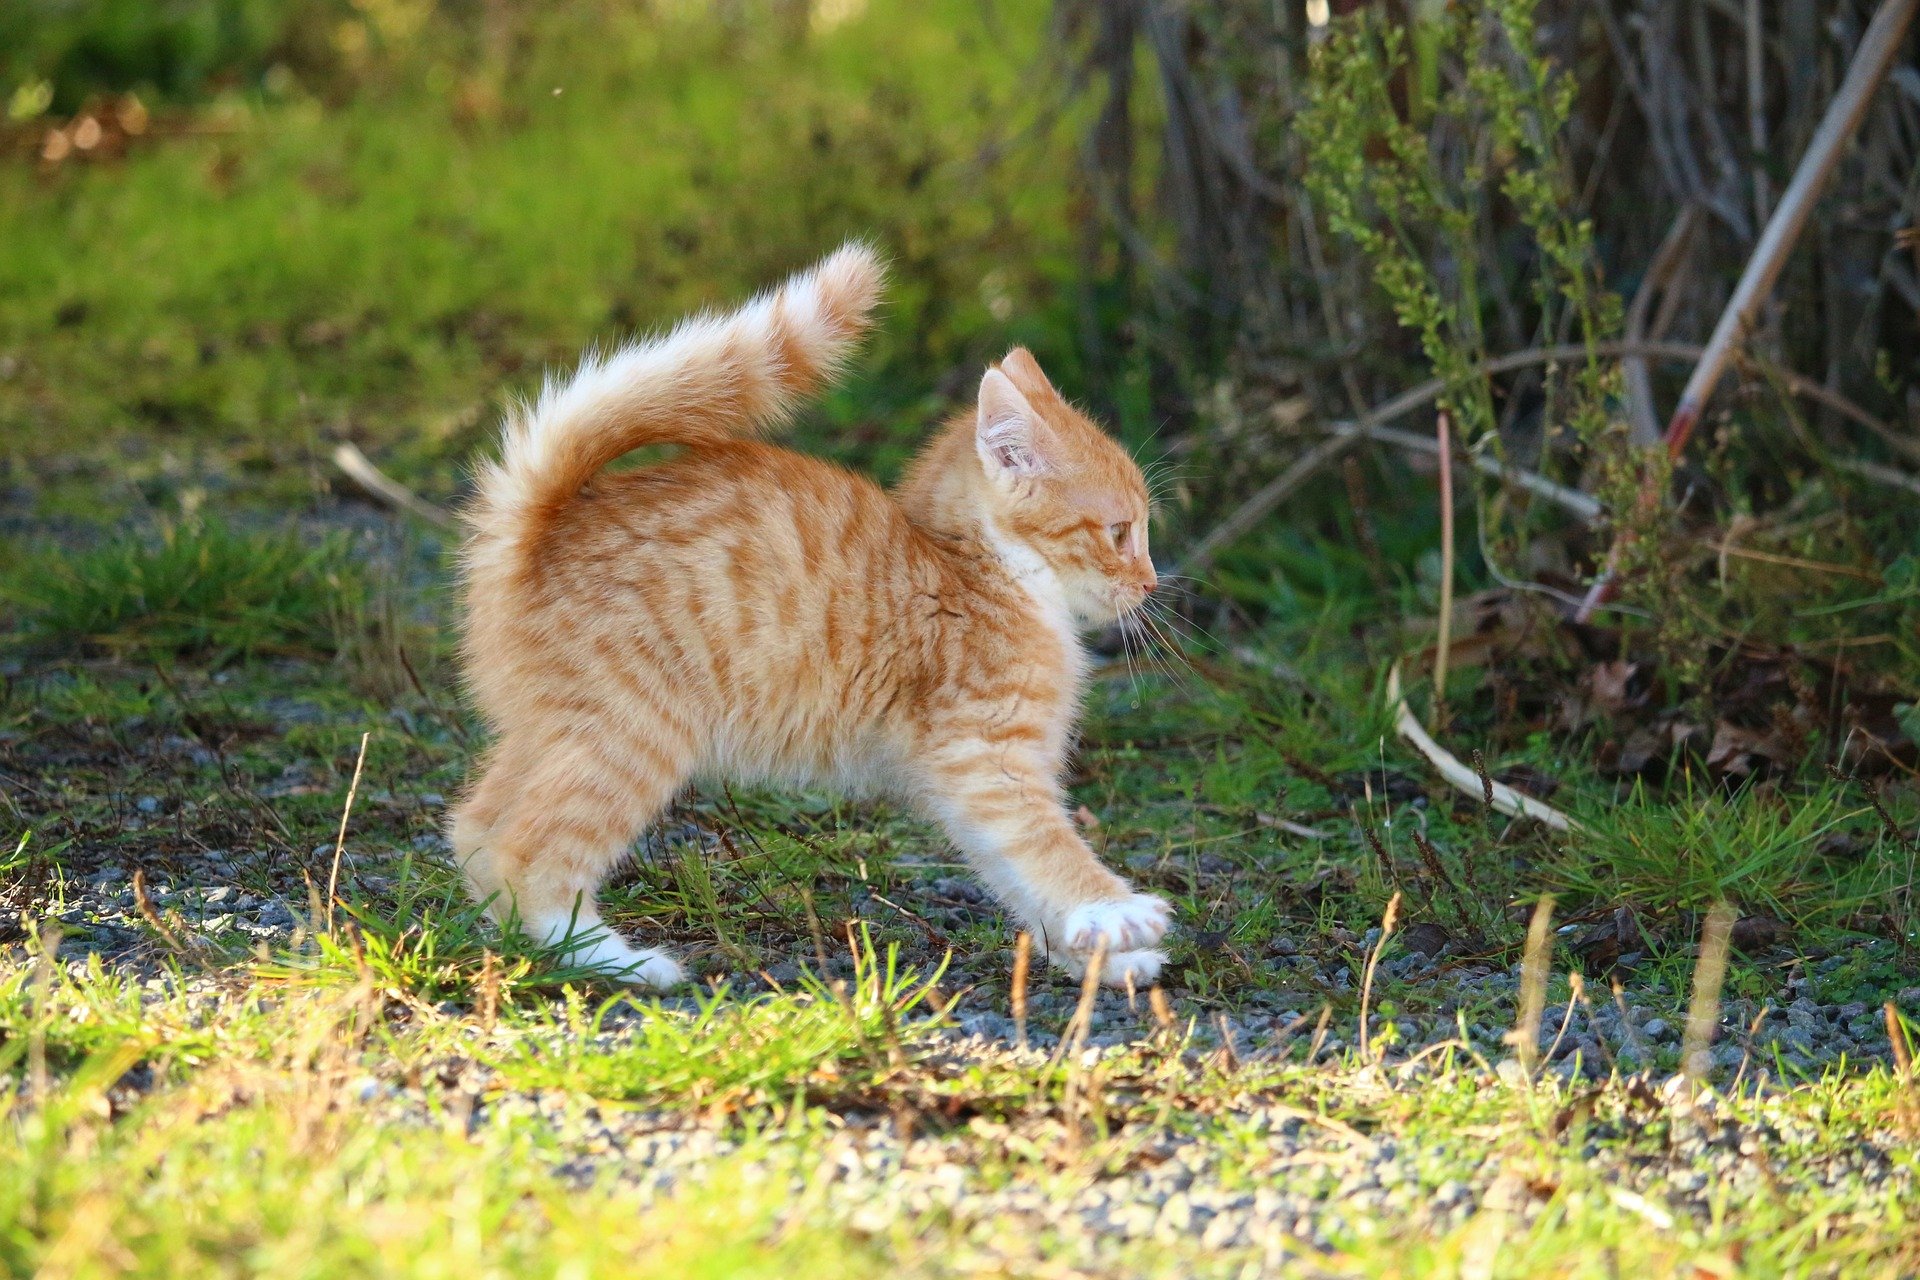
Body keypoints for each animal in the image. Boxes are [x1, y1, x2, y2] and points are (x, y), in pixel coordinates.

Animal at [453, 245, 1167, 990]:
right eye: (1120, 532)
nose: (1150, 582)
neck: (984, 570)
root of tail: (541, 526)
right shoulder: (986, 757)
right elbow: (1046, 845)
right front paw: (1116, 911)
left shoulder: (974, 779)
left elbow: (1018, 875)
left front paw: (1098, 955)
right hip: (632, 734)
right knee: (527, 852)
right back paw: (608, 957)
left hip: (554, 733)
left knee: (476, 830)